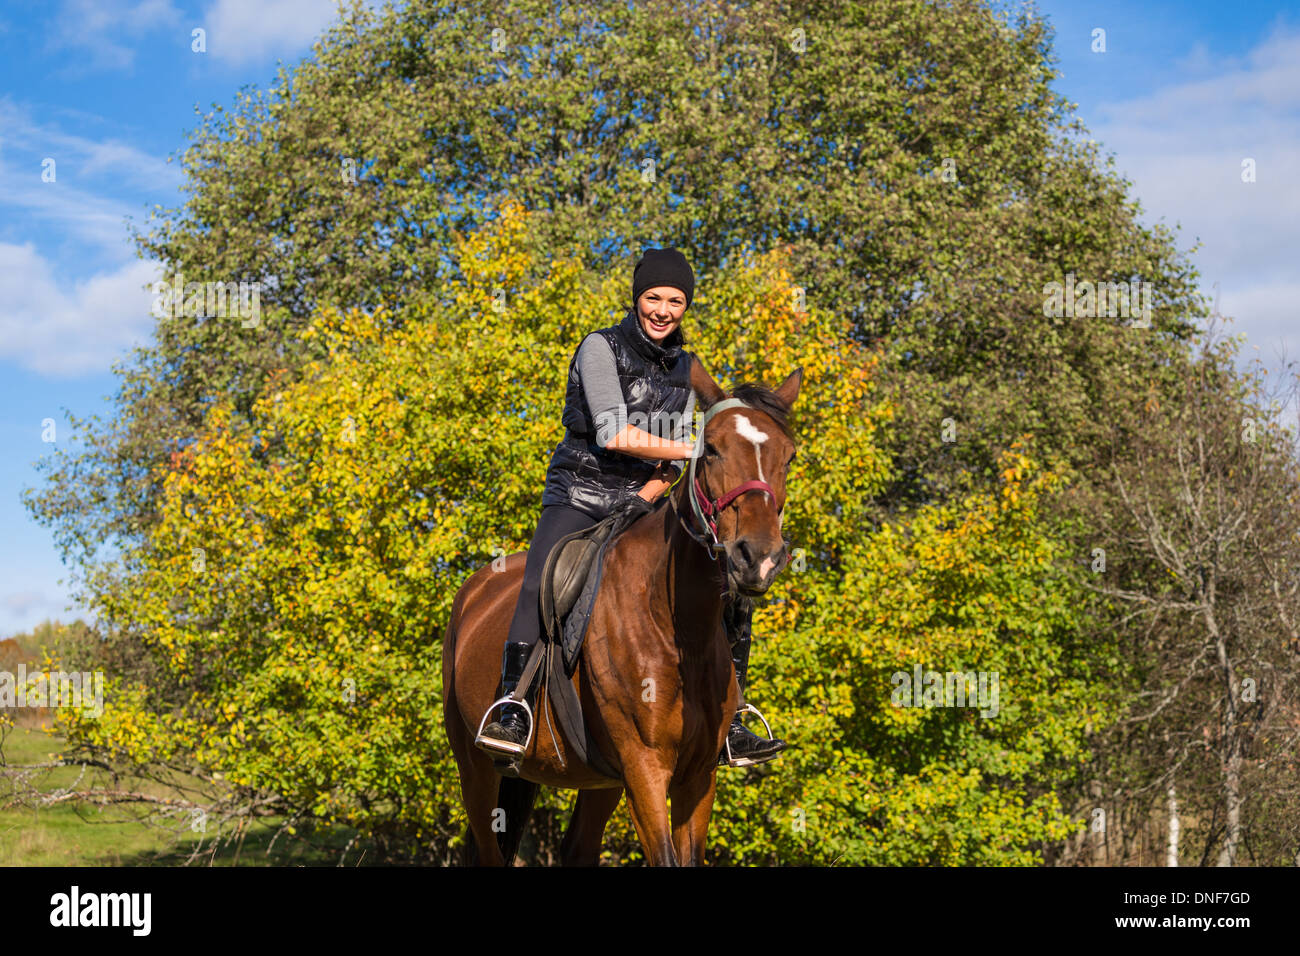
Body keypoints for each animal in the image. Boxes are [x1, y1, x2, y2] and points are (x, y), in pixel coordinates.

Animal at [441, 361, 795, 868]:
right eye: (711, 451)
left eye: (788, 457)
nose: (758, 557)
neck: (677, 628)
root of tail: (473, 592)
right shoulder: (645, 766)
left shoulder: (697, 776)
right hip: (476, 770)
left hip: (599, 778)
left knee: (578, 847)